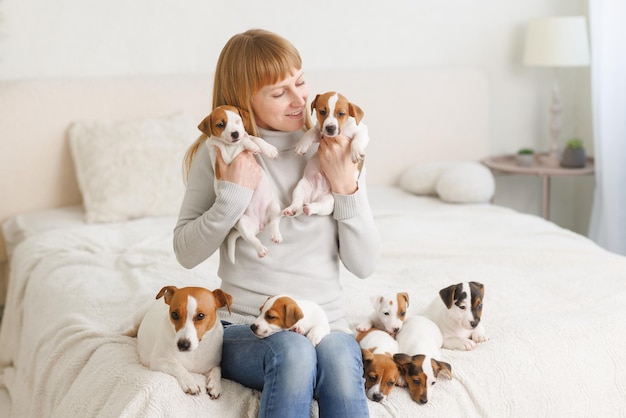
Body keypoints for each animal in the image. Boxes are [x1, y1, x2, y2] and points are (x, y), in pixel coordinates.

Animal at [197, 104, 280, 262]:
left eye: (238, 121)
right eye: (221, 124)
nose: (235, 134)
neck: (227, 144)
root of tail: (260, 225)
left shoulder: (245, 136)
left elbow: (253, 137)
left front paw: (268, 149)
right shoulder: (226, 157)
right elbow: (244, 141)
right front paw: (251, 146)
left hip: (274, 207)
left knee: (274, 223)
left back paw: (276, 235)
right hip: (243, 224)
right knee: (252, 239)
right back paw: (261, 249)